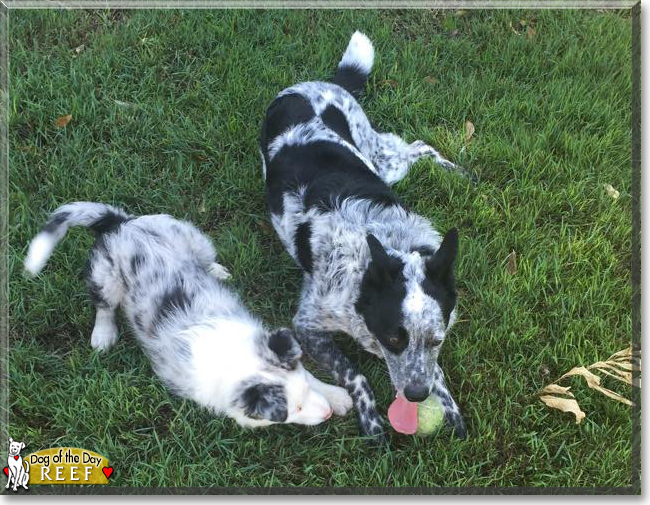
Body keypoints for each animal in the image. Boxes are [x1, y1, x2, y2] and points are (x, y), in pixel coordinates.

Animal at [260, 31, 468, 440]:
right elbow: (355, 375)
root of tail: (312, 85)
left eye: (437, 340)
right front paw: (370, 419)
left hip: (380, 158)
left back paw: (457, 170)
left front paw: (449, 408)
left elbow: (435, 372)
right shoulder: (308, 326)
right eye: (393, 339)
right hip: (383, 160)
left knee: (418, 145)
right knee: (415, 145)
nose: (416, 396)